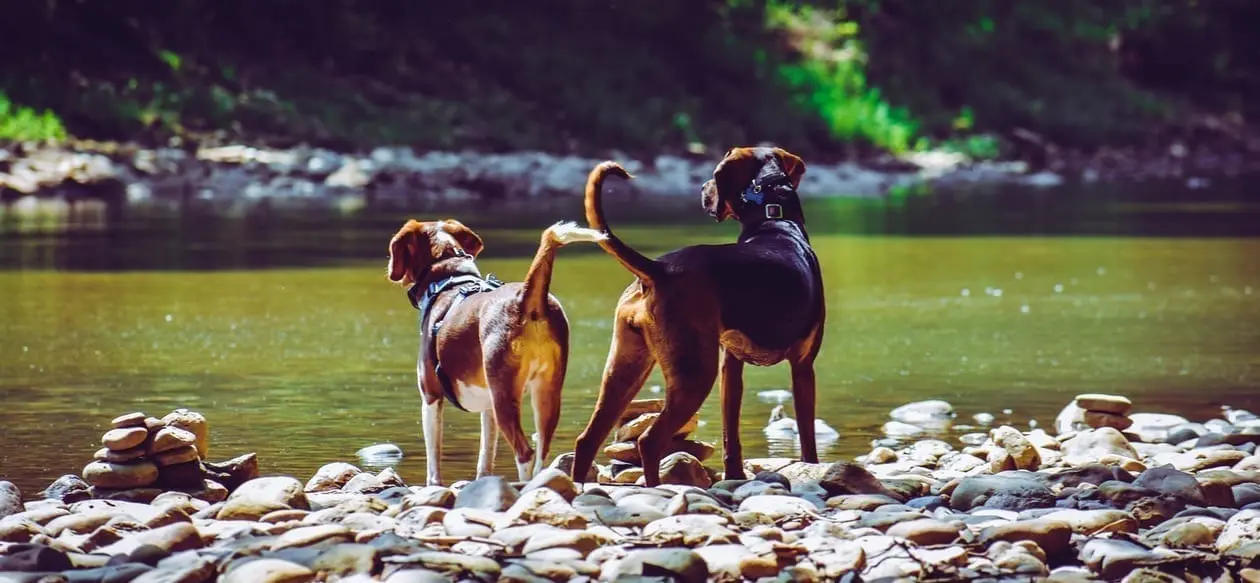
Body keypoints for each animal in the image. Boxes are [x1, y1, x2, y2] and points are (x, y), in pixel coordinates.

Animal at [383, 217, 604, 483]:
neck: (448, 279)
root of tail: (526, 298)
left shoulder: (430, 396)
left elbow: (433, 460)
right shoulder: (488, 407)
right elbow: (485, 455)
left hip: (504, 398)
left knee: (525, 453)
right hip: (546, 393)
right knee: (542, 450)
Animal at [572, 147, 826, 488]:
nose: (702, 189)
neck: (775, 220)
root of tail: (658, 269)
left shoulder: (730, 367)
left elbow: (731, 435)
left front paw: (734, 476)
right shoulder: (803, 366)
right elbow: (807, 435)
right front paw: (812, 468)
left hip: (624, 368)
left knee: (587, 439)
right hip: (694, 374)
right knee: (649, 441)